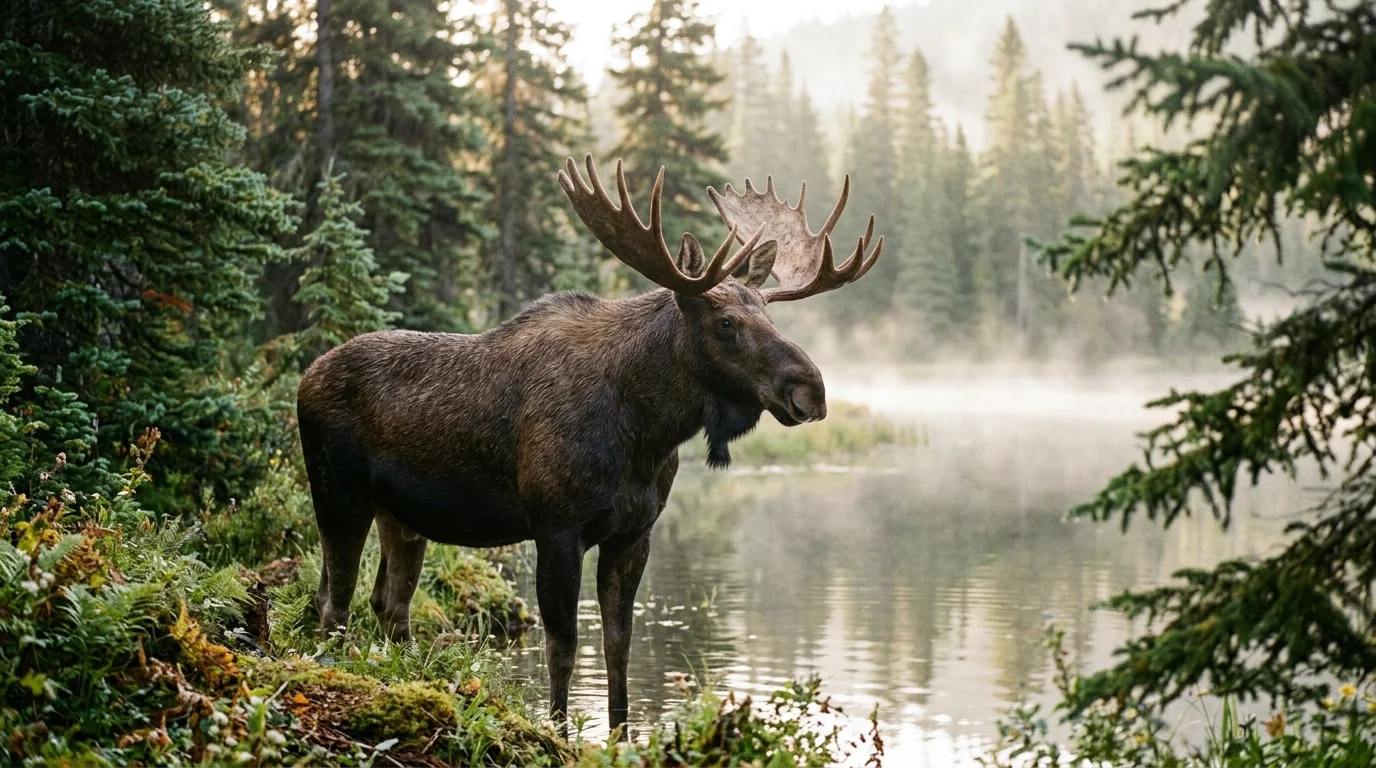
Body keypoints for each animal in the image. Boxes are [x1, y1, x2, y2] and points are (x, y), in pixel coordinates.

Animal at [296, 155, 883, 736]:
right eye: (726, 323)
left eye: (769, 313)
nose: (811, 389)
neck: (646, 433)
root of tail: (305, 377)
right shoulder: (557, 527)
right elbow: (563, 646)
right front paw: (558, 733)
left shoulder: (634, 533)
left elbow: (618, 645)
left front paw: (620, 736)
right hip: (337, 495)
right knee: (335, 602)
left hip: (401, 517)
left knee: (386, 603)